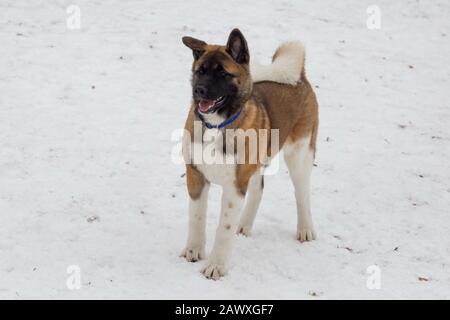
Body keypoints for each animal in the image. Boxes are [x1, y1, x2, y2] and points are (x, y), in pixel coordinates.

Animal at [180, 30, 320, 280]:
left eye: (223, 73)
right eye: (200, 72)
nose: (199, 91)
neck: (216, 125)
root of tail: (299, 77)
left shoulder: (234, 185)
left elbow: (223, 228)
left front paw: (216, 266)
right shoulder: (195, 175)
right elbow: (196, 218)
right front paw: (194, 250)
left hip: (300, 155)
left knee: (302, 194)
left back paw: (305, 229)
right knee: (258, 189)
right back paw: (244, 225)